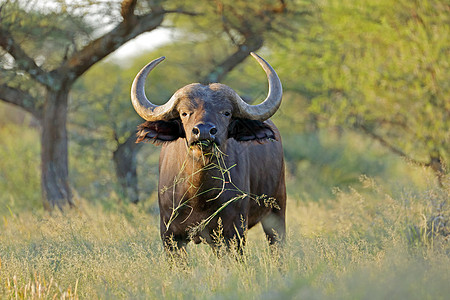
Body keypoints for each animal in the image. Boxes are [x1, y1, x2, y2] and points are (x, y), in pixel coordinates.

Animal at [131, 52, 284, 252]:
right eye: (184, 112)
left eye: (226, 112)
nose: (203, 131)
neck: (200, 194)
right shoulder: (170, 236)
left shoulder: (234, 233)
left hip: (277, 212)